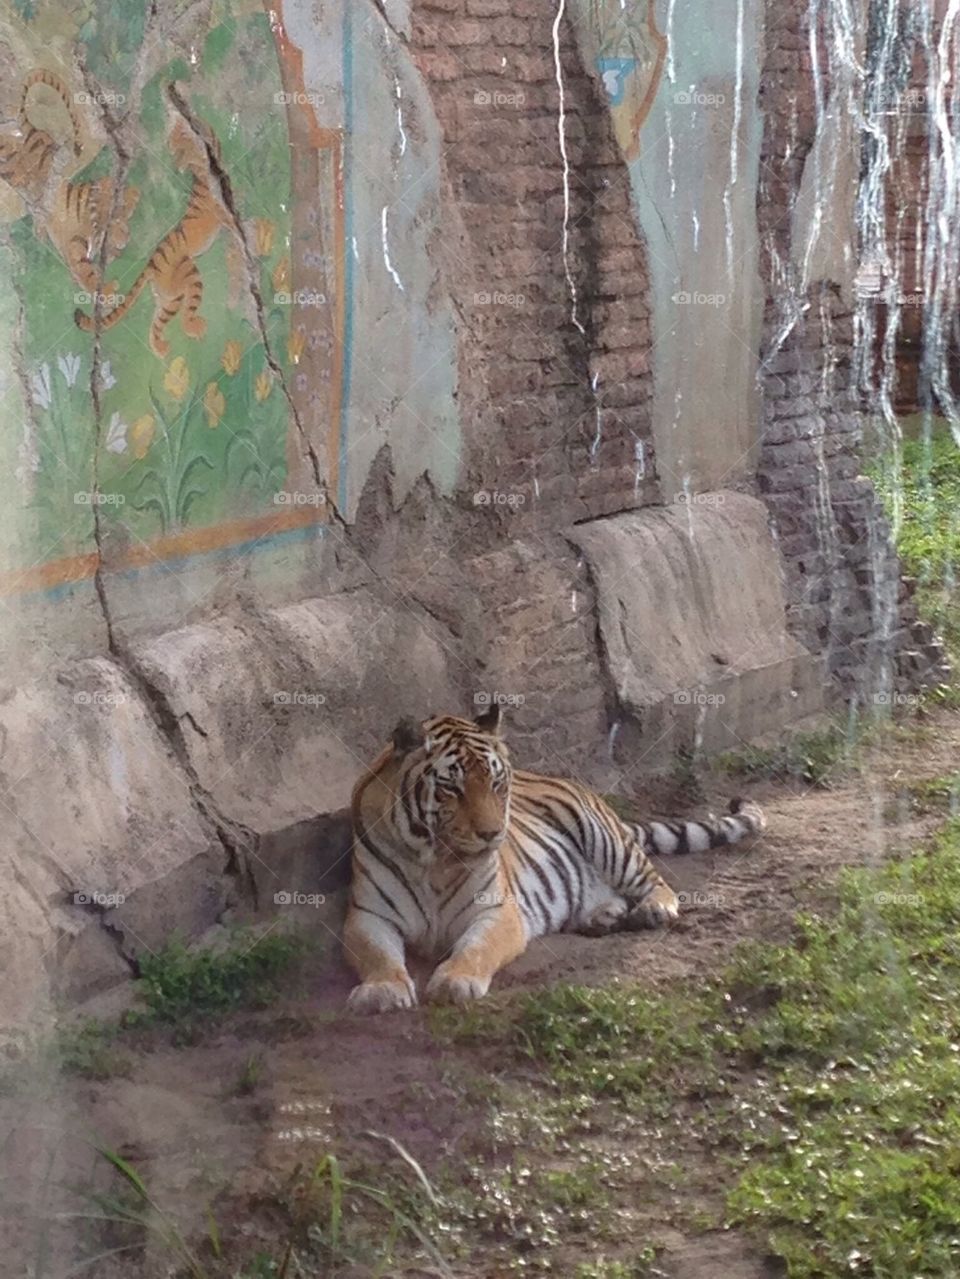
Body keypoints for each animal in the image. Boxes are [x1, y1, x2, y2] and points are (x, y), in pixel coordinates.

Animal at [74, 111, 232, 356]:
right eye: (175, 146)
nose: (178, 165)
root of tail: (150, 264)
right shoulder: (223, 211)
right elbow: (236, 222)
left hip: (169, 297)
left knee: (156, 324)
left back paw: (160, 349)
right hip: (188, 275)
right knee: (185, 312)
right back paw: (194, 328)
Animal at [344, 706, 766, 1012]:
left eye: (496, 783)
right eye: (452, 787)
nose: (492, 833)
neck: (434, 860)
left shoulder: (497, 911)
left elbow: (476, 949)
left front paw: (455, 982)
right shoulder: (368, 916)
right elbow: (377, 955)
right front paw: (382, 990)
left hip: (602, 836)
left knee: (654, 879)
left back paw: (653, 909)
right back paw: (603, 916)